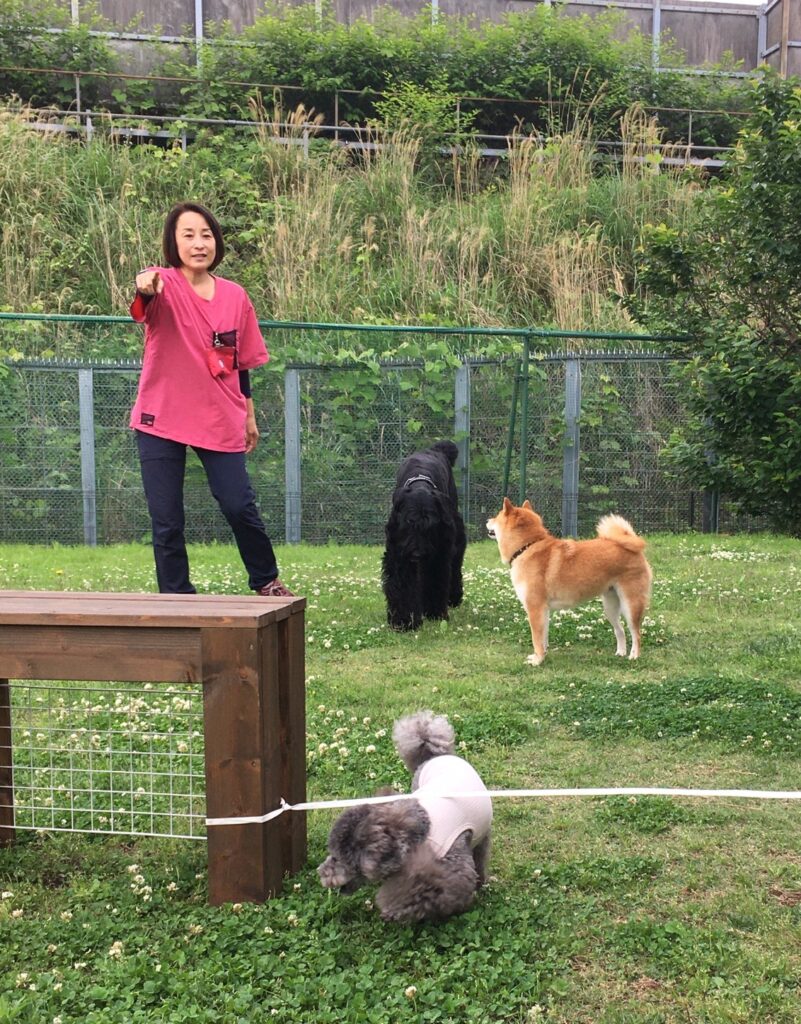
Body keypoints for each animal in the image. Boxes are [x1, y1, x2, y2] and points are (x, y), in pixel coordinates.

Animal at [317, 711, 493, 923]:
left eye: (338, 858)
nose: (321, 873)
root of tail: (438, 756)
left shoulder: (452, 869)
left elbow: (421, 889)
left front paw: (393, 908)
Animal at [382, 440, 467, 631]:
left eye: (430, 527)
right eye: (407, 524)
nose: (417, 554)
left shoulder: (440, 553)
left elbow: (436, 579)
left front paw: (435, 613)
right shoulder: (399, 554)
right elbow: (402, 584)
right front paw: (404, 620)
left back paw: (454, 597)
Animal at [486, 498, 652, 667]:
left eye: (497, 516)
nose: (487, 520)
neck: (527, 547)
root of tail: (634, 547)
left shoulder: (535, 609)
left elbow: (536, 639)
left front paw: (537, 660)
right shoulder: (543, 611)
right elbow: (543, 639)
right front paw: (542, 656)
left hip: (630, 605)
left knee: (636, 634)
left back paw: (634, 655)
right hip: (610, 607)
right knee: (620, 630)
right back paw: (620, 653)